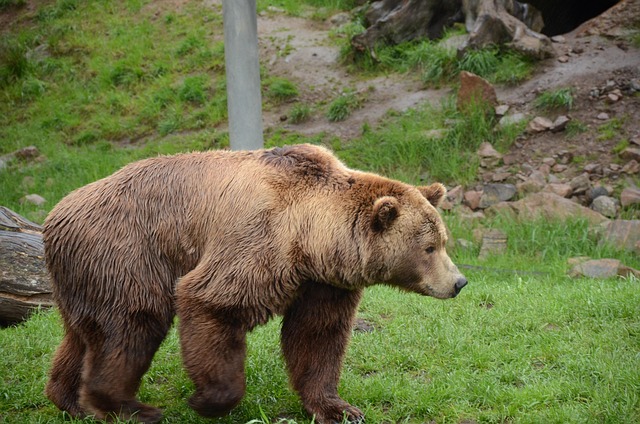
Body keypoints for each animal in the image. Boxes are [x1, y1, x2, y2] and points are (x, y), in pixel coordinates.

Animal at [43, 143, 467, 424]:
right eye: (429, 247)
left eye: (445, 240)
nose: (459, 282)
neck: (312, 239)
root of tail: (55, 215)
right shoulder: (259, 240)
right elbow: (212, 304)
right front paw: (207, 400)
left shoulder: (322, 283)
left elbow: (317, 335)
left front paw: (339, 408)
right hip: (127, 251)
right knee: (131, 323)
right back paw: (128, 407)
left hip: (84, 274)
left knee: (82, 335)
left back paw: (70, 400)